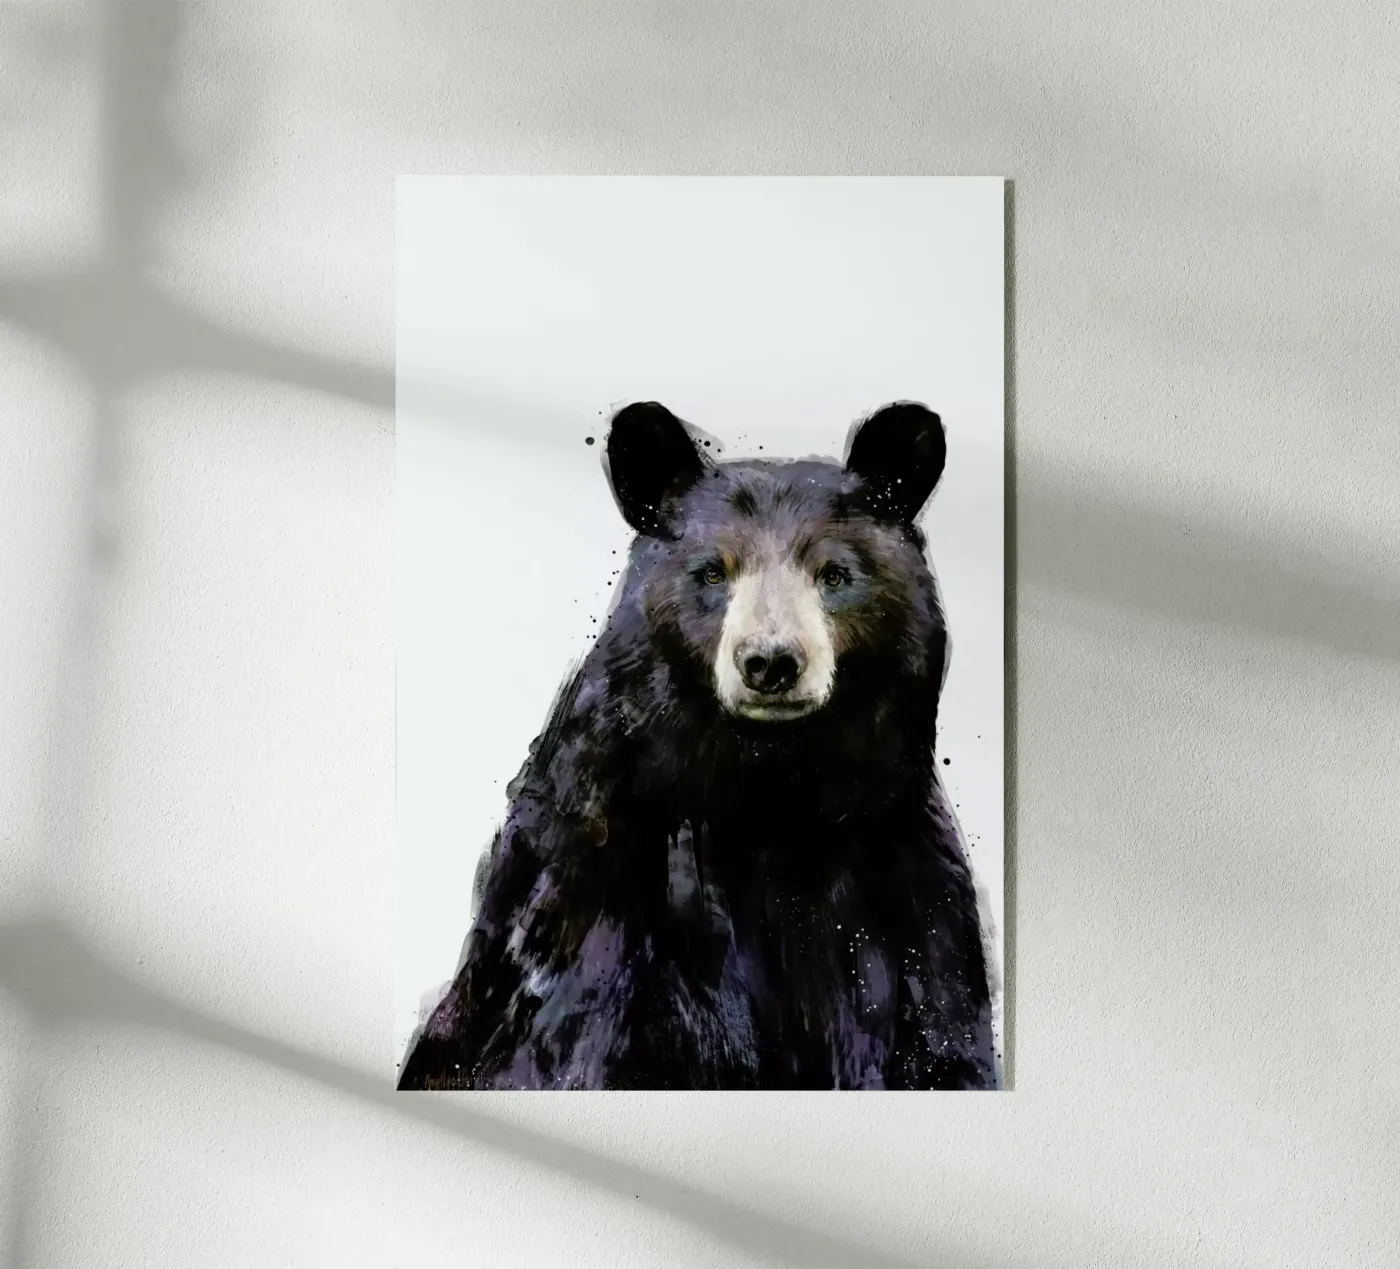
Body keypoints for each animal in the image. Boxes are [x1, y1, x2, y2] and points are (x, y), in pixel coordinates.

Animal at [397, 400, 1000, 1091]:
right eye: (713, 571)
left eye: (835, 574)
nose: (771, 662)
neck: (769, 793)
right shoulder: (601, 885)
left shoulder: (905, 884)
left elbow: (939, 1032)